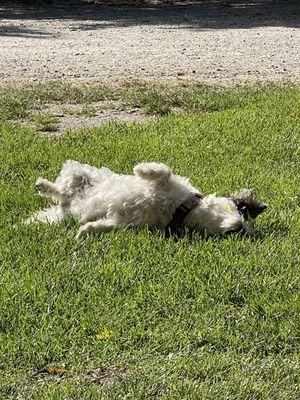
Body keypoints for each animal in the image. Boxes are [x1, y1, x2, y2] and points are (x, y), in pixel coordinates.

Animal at [24, 161, 266, 239]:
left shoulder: (124, 222)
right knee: (61, 189)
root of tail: (67, 205)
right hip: (77, 172)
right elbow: (164, 172)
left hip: (62, 213)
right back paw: (44, 185)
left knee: (60, 202)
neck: (179, 208)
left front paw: (86, 230)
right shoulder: (169, 185)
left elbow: (106, 225)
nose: (239, 228)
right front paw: (142, 170)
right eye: (240, 210)